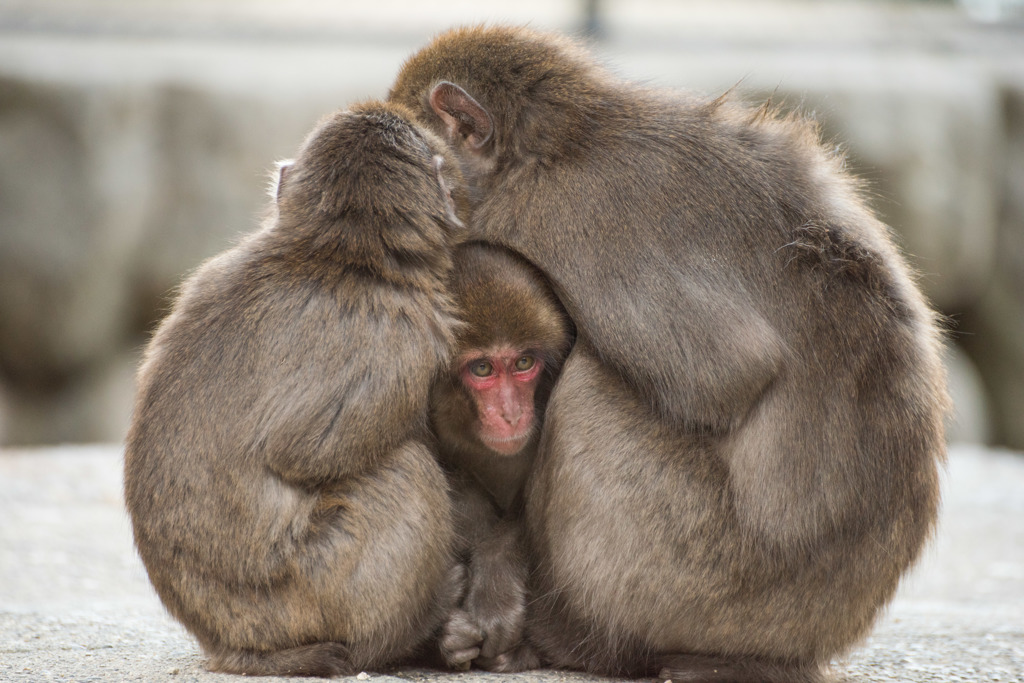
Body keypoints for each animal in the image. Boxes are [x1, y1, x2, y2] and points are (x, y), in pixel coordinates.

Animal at [121, 102, 466, 679]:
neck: (334, 250)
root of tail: (227, 644)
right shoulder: (397, 338)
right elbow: (306, 452)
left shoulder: (212, 273)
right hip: (312, 584)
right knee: (404, 467)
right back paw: (406, 632)